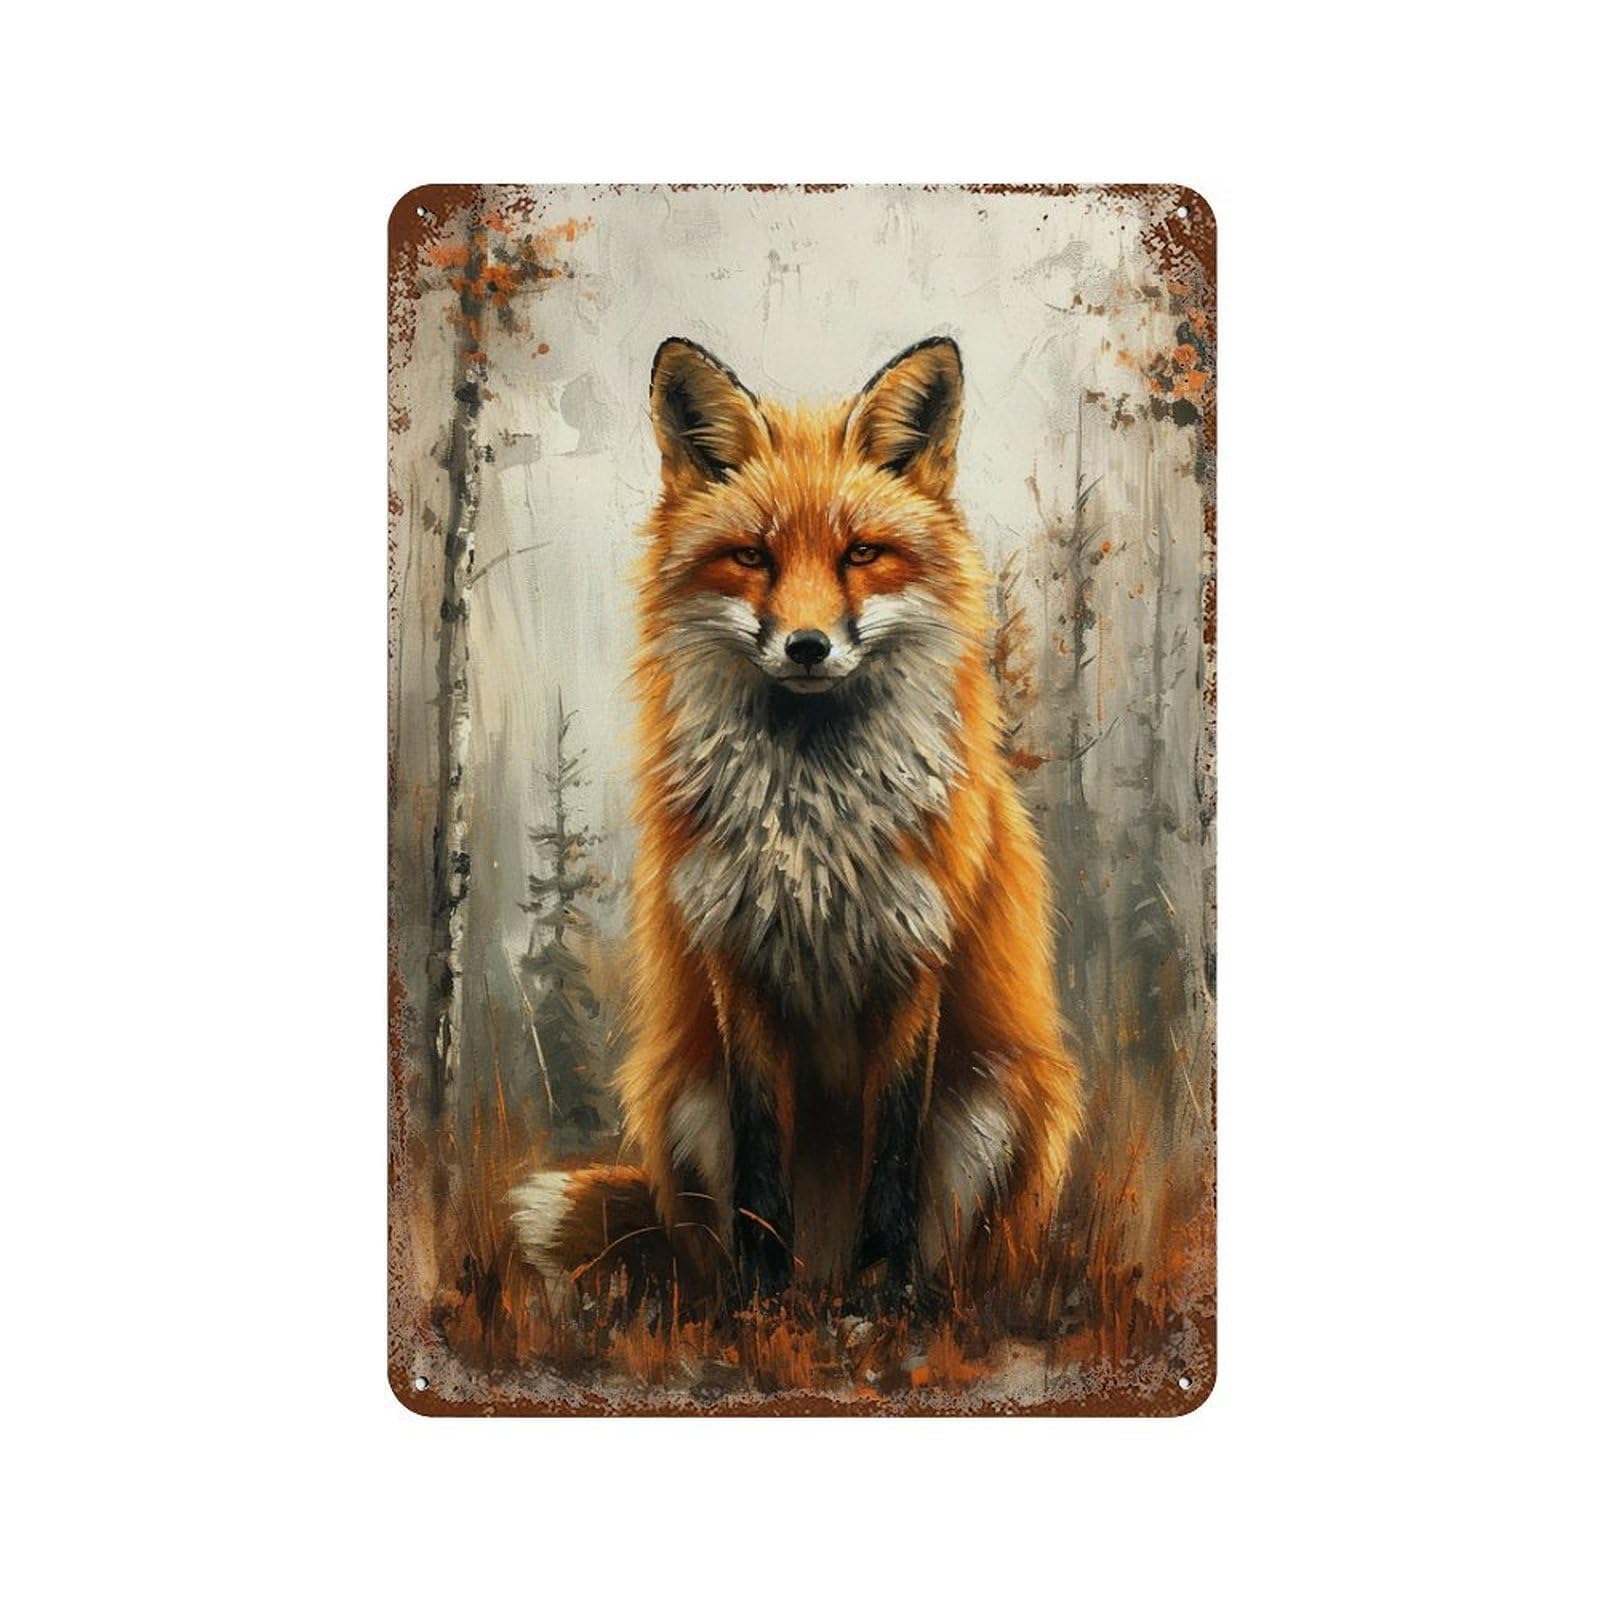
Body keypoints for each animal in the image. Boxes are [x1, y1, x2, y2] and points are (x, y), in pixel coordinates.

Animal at [511, 335, 1083, 1309]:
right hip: (679, 1098)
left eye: (862, 554)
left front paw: (883, 1297)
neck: (812, 822)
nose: (808, 646)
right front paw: (760, 1297)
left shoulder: (913, 957)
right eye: (752, 556)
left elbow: (892, 1157)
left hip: (1001, 1103)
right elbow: (759, 1158)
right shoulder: (737, 962)